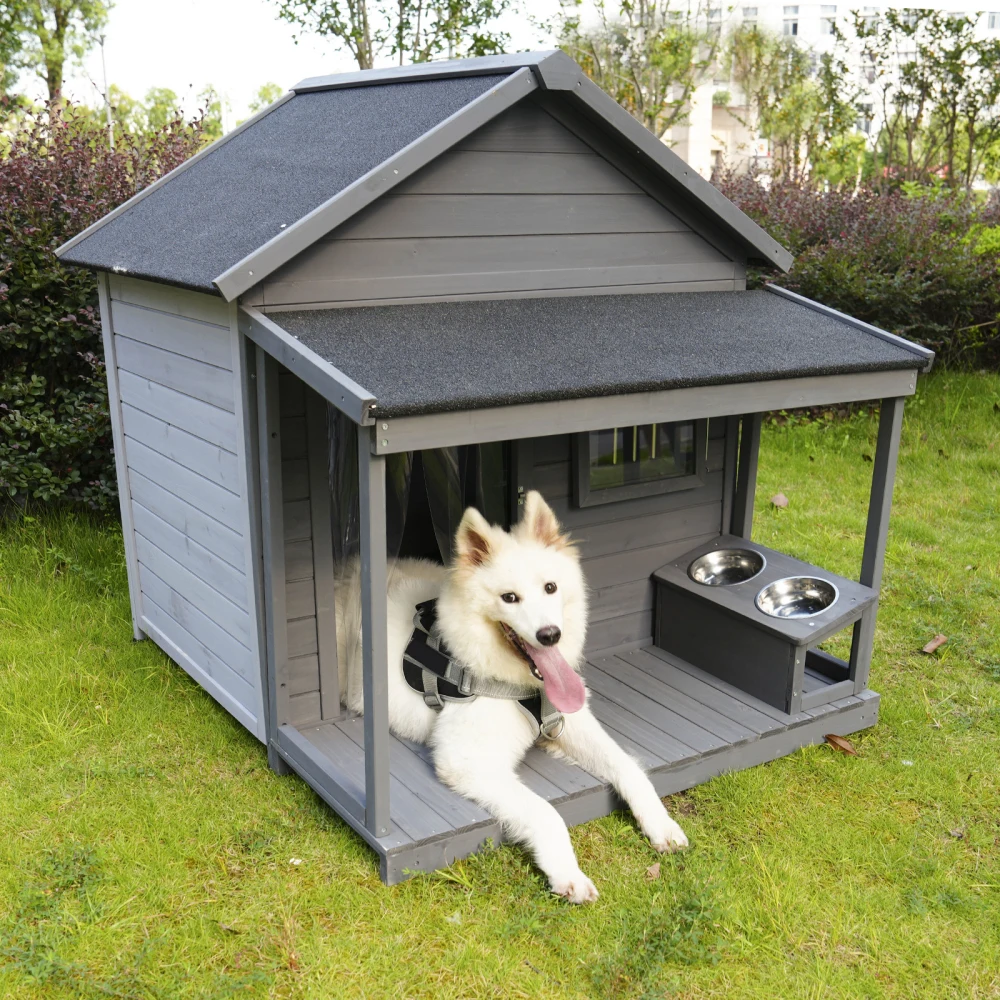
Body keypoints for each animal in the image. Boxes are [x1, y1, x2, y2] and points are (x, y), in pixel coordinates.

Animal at [336, 488, 688, 904]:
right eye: (509, 597)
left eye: (550, 588)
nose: (550, 635)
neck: (517, 684)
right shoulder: (467, 761)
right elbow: (545, 811)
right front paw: (567, 874)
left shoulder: (571, 722)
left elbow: (629, 767)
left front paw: (660, 824)